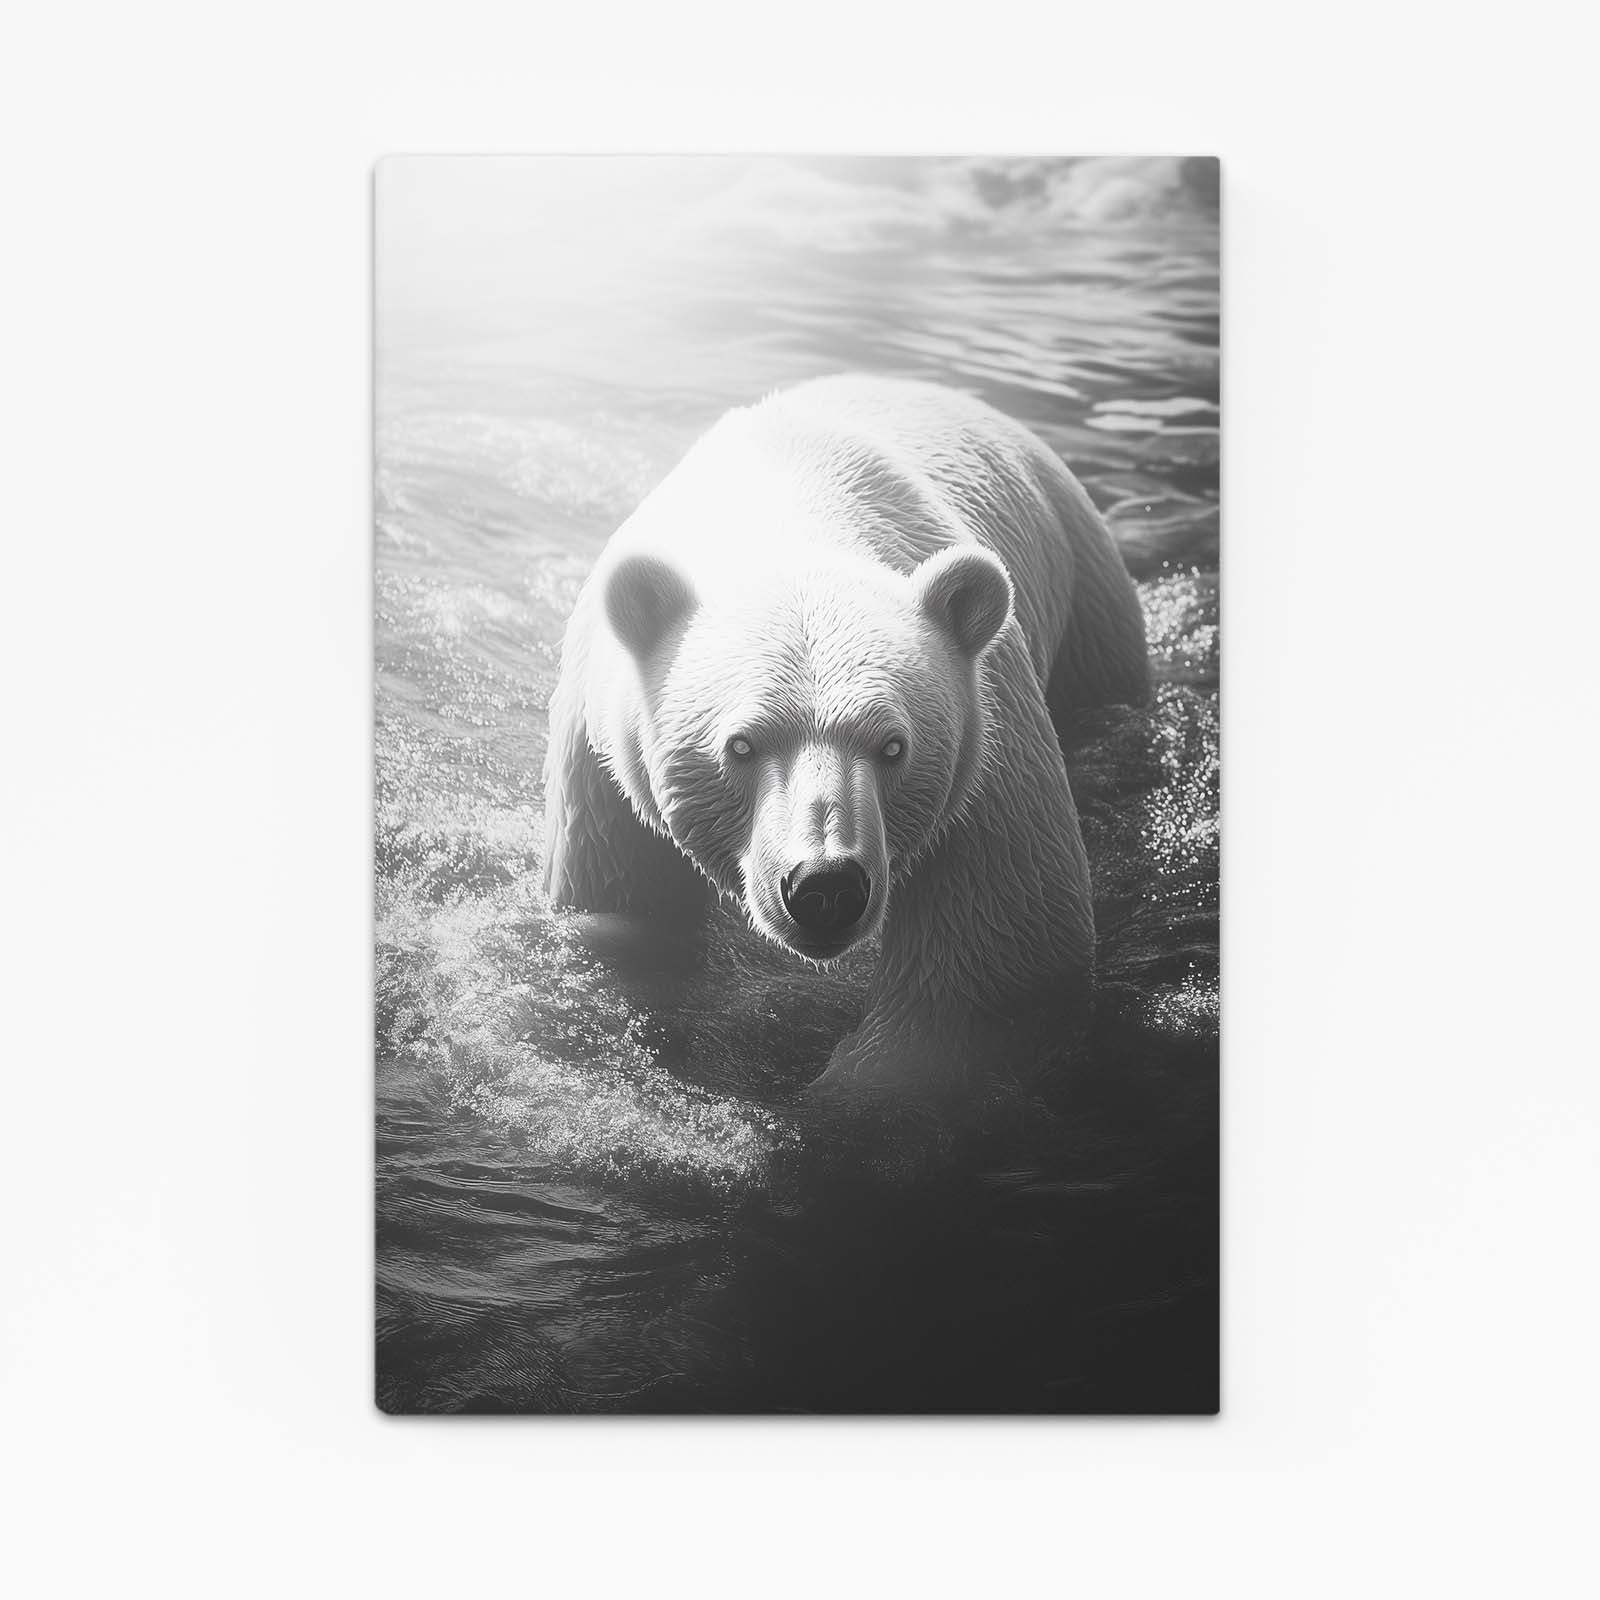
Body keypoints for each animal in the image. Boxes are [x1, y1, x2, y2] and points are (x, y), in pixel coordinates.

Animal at [541, 374, 1149, 1096]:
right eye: (740, 744)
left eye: (893, 746)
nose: (826, 887)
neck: (791, 503)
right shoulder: (602, 768)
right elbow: (624, 912)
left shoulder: (985, 749)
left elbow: (995, 967)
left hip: (1088, 603)